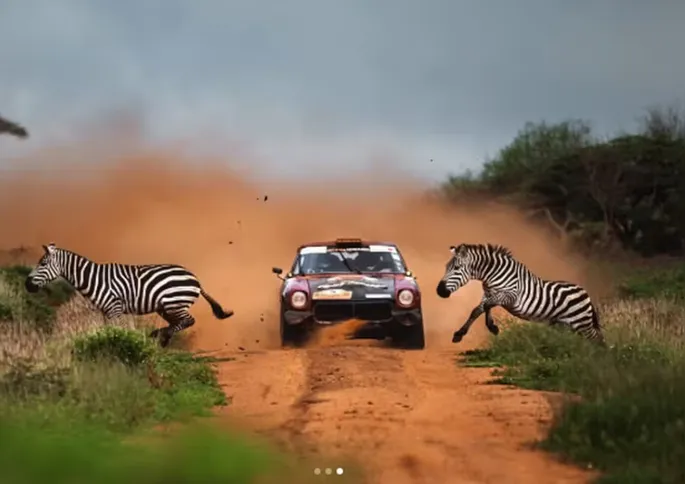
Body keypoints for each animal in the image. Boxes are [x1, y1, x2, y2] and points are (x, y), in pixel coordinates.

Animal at [24, 244, 234, 346]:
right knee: (178, 323)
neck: (93, 279)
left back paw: (161, 336)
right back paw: (160, 337)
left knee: (188, 321)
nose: (27, 284)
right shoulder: (106, 312)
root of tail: (195, 278)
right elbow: (108, 332)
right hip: (165, 308)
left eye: (43, 264)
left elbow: (116, 333)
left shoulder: (114, 308)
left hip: (174, 302)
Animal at [438, 244, 604, 346]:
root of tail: (586, 293)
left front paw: (492, 327)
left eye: (457, 268)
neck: (492, 275)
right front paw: (460, 334)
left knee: (597, 338)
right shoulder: (488, 293)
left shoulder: (510, 295)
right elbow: (478, 310)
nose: (439, 291)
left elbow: (487, 306)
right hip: (567, 325)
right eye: (446, 267)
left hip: (581, 323)